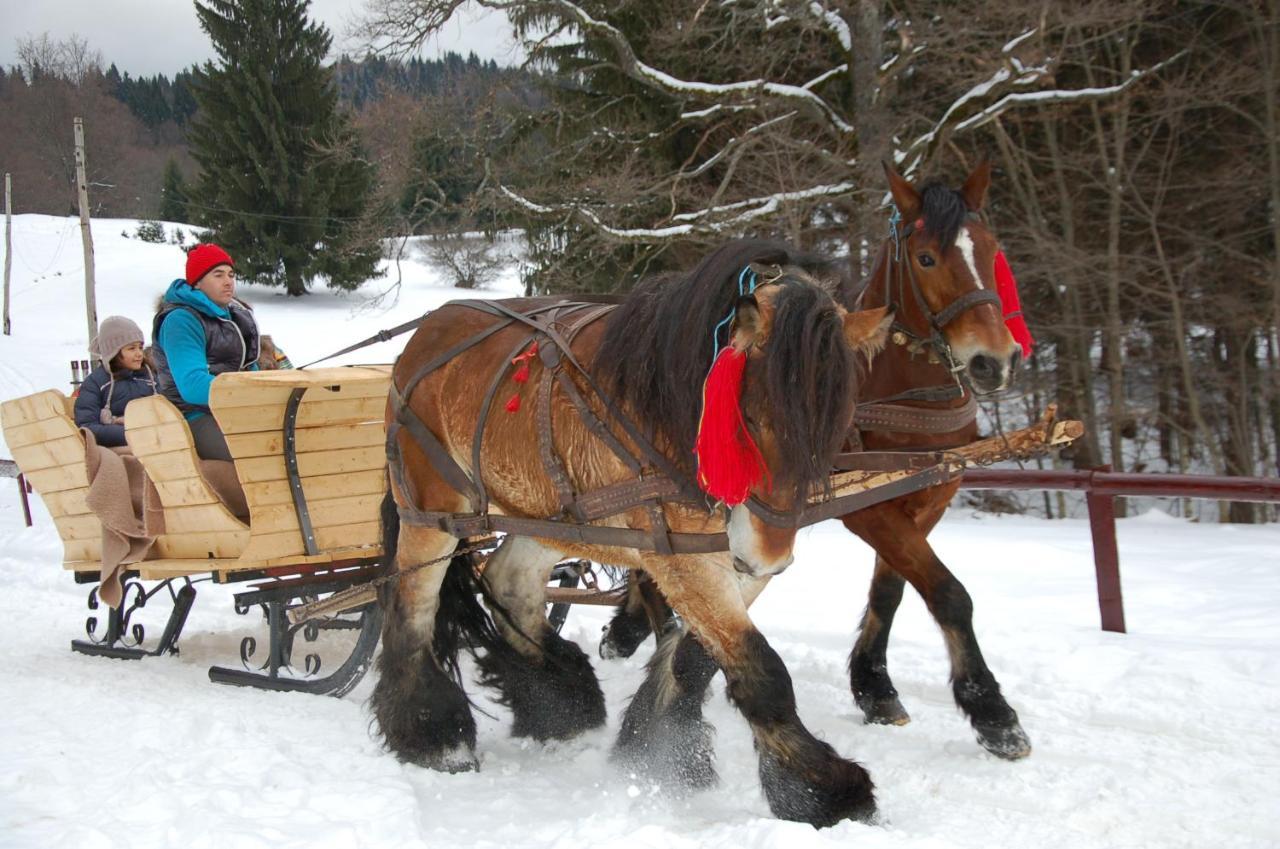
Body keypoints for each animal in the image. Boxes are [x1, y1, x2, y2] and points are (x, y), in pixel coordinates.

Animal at [371, 249, 890, 824]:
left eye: (835, 425)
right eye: (749, 419)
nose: (766, 554)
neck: (674, 409)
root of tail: (424, 334)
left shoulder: (726, 558)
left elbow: (699, 655)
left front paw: (659, 750)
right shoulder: (686, 558)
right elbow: (763, 670)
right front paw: (823, 791)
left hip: (557, 513)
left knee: (509, 583)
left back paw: (560, 703)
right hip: (432, 512)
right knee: (411, 606)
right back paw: (433, 734)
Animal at [599, 162, 1029, 758]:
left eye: (992, 249)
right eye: (925, 258)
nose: (996, 361)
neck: (897, 392)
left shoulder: (924, 502)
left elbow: (892, 591)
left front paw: (875, 687)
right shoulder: (869, 509)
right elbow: (947, 592)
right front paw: (993, 713)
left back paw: (630, 629)